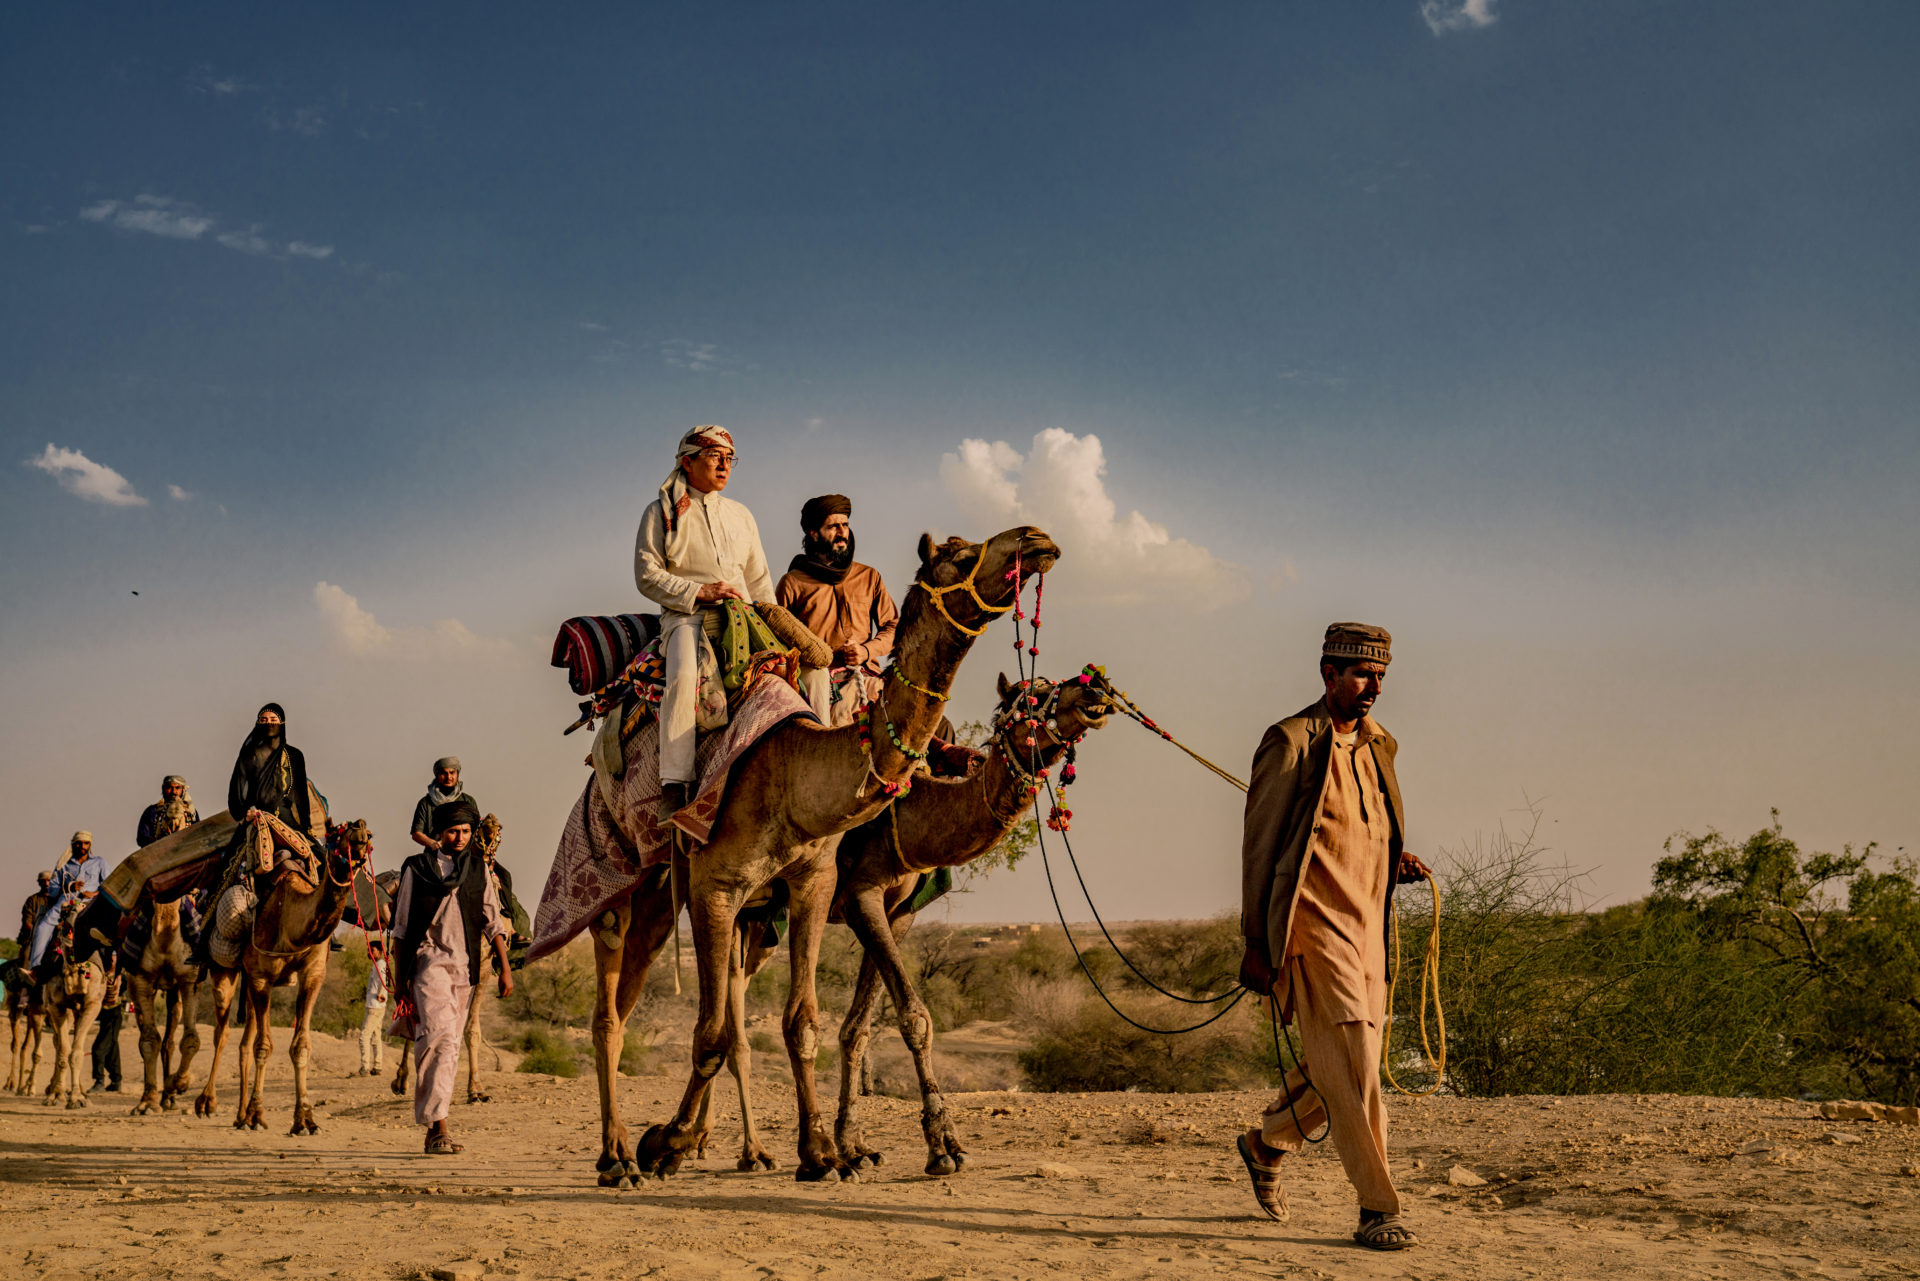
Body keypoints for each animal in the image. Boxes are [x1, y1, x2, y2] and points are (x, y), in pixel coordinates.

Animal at [194, 818, 374, 1136]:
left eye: (368, 833)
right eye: (340, 832)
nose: (360, 831)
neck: (290, 921)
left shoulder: (313, 973)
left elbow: (299, 1045)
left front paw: (305, 1120)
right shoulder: (261, 977)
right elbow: (263, 1046)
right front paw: (257, 1115)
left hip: (250, 986)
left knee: (243, 1040)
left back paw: (239, 1115)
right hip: (224, 971)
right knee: (222, 1033)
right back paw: (208, 1103)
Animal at [587, 522, 1067, 1183]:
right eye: (961, 554)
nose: (1037, 538)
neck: (797, 771)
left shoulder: (835, 890)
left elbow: (823, 1024)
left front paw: (832, 1149)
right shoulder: (740, 887)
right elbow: (714, 1032)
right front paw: (666, 1140)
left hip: (738, 917)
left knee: (726, 1013)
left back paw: (734, 1149)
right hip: (629, 880)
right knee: (614, 1014)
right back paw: (620, 1156)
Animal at [837, 668, 1121, 1175]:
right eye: (1032, 696)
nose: (1096, 686)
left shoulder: (895, 911)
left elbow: (858, 1027)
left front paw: (855, 1149)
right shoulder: (859, 893)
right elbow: (915, 1018)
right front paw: (942, 1148)